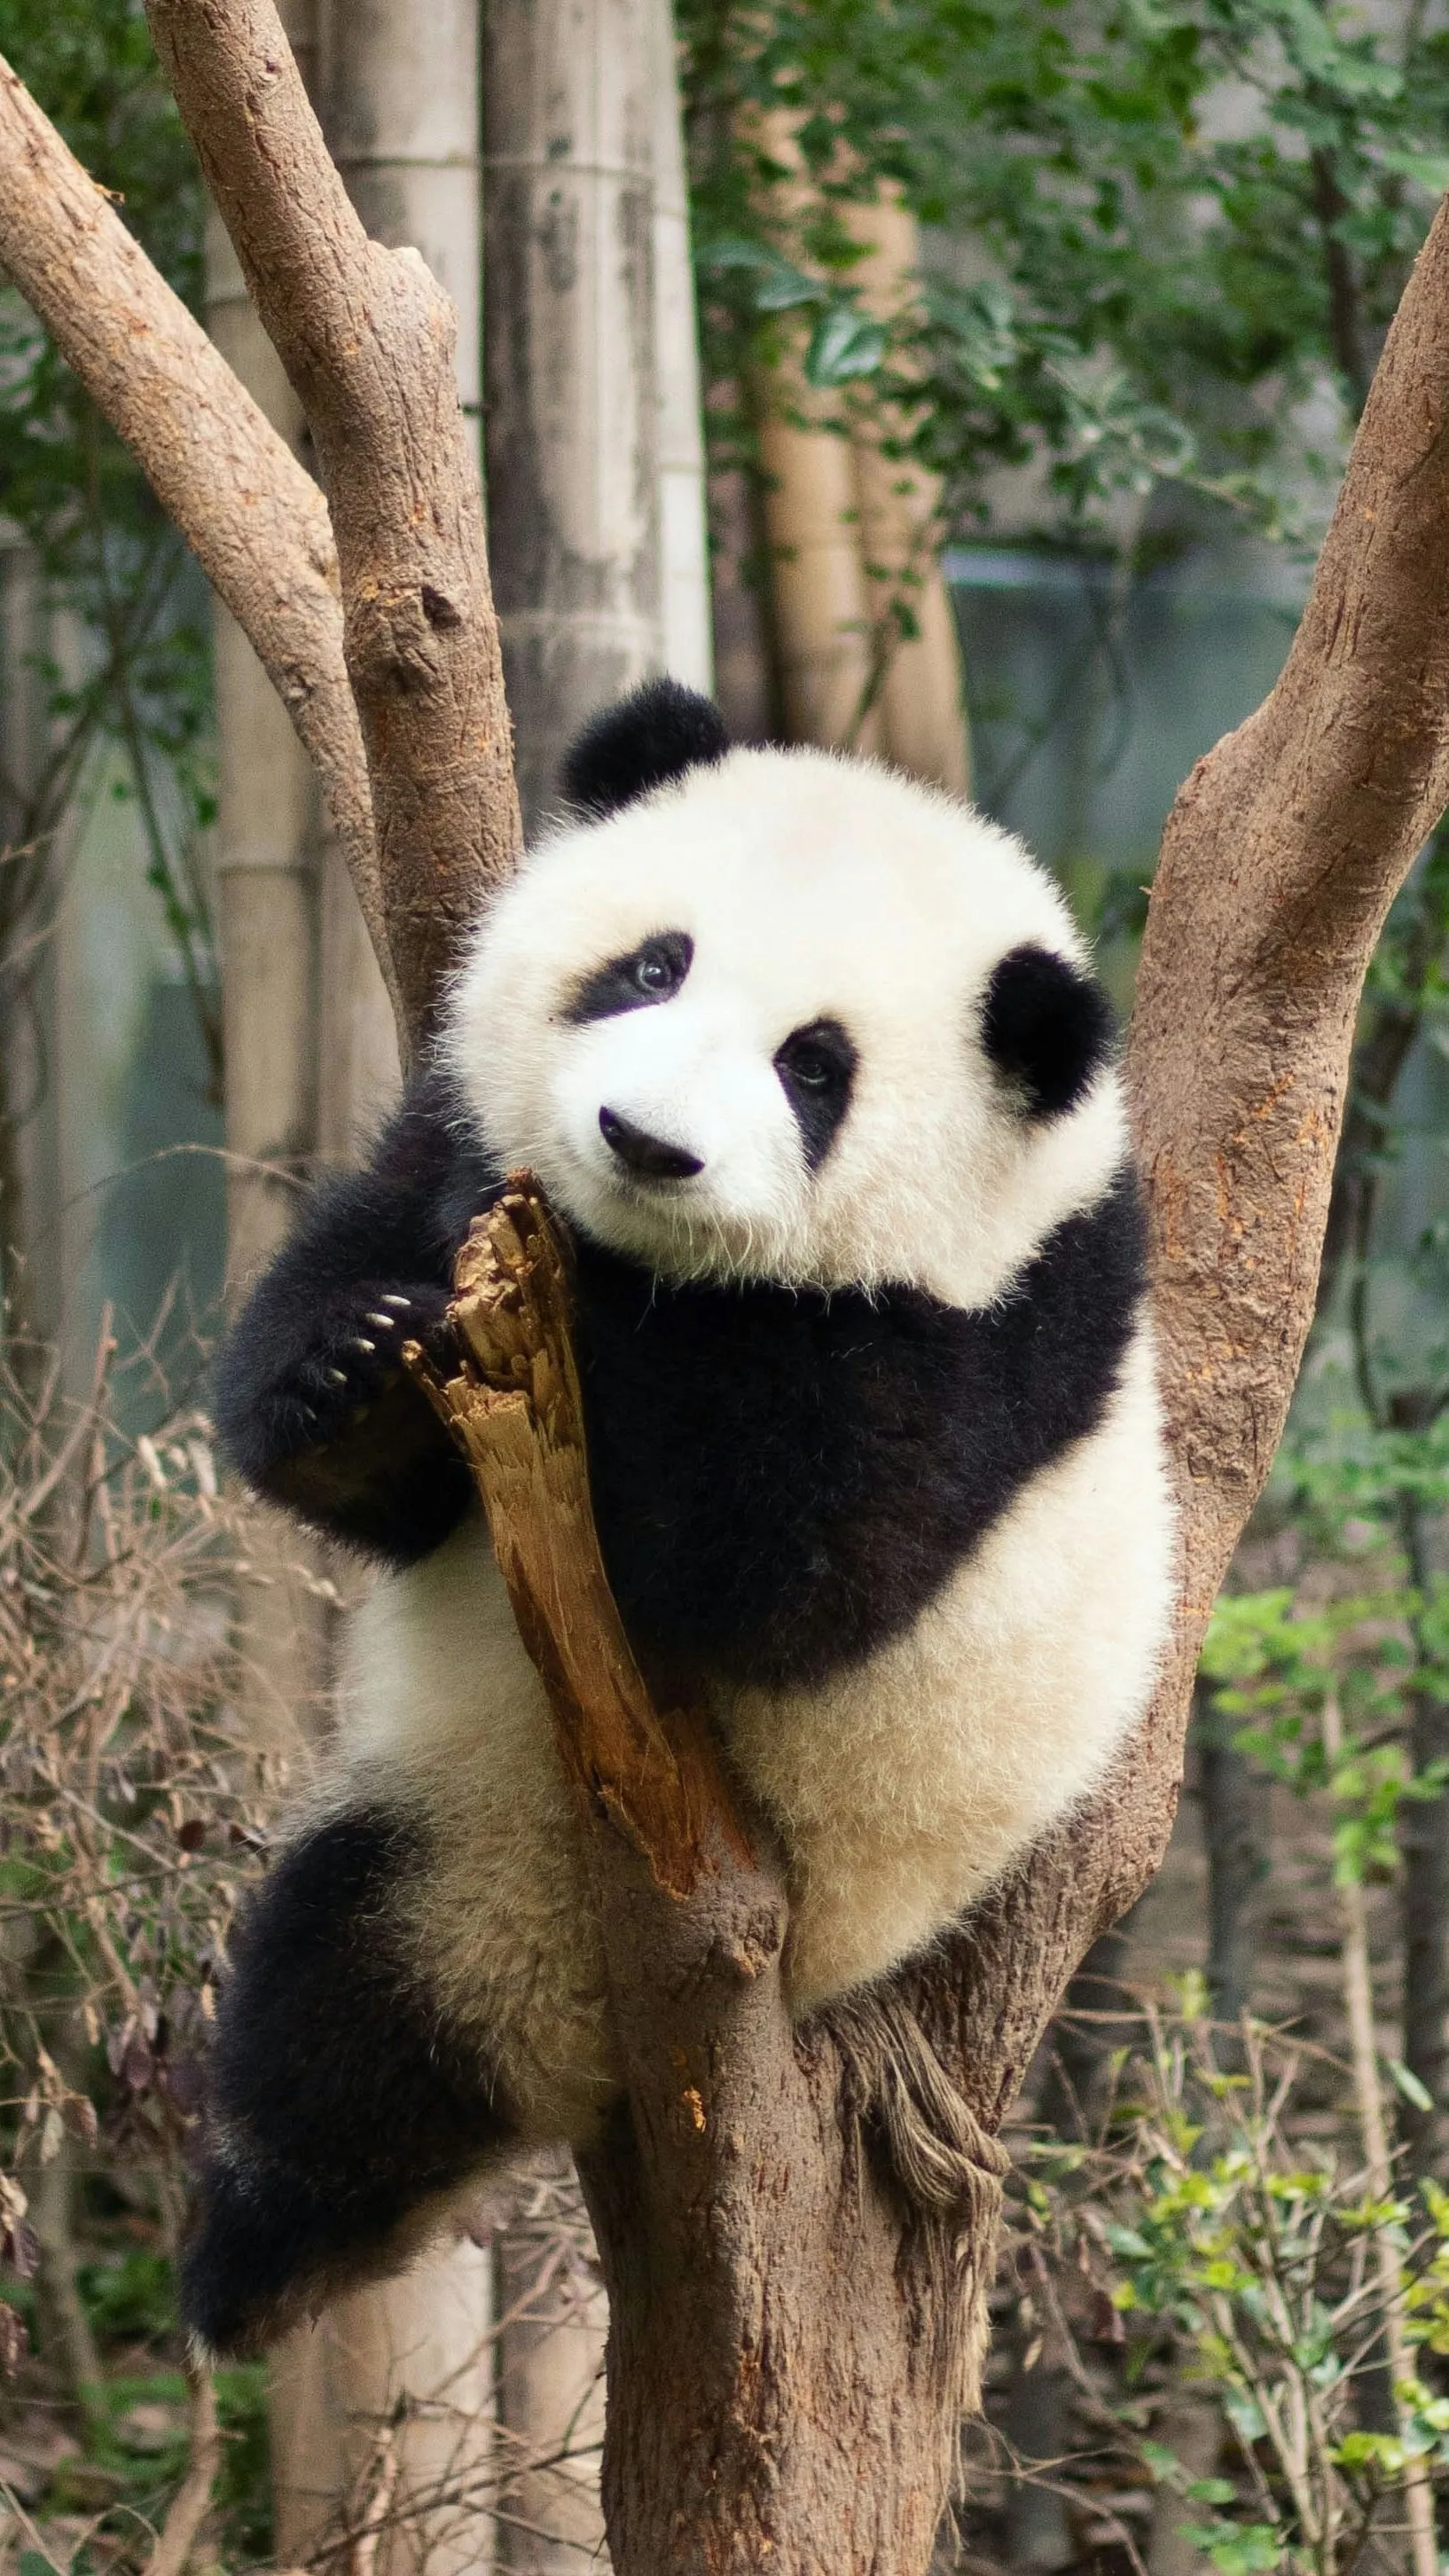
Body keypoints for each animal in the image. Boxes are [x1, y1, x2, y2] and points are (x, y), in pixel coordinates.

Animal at [184, 679, 1175, 2357]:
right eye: (652, 965)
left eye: (813, 1068)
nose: (641, 1142)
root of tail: (570, 2029)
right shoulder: (451, 1130)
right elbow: (363, 1389)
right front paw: (358, 1363)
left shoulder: (973, 1332)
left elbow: (791, 1571)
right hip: (450, 1836)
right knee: (330, 2026)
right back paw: (262, 2261)